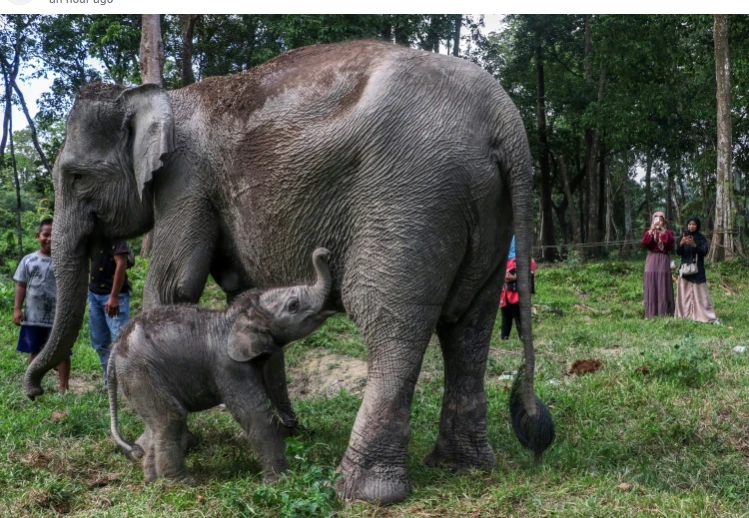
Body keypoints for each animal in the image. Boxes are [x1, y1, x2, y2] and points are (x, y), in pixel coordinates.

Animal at [106, 250, 332, 486]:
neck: (234, 316)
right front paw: (280, 482)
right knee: (171, 418)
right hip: (140, 373)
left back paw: (153, 482)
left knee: (156, 424)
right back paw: (183, 484)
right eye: (293, 305)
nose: (324, 253)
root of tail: (115, 348)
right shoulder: (229, 366)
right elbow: (256, 414)